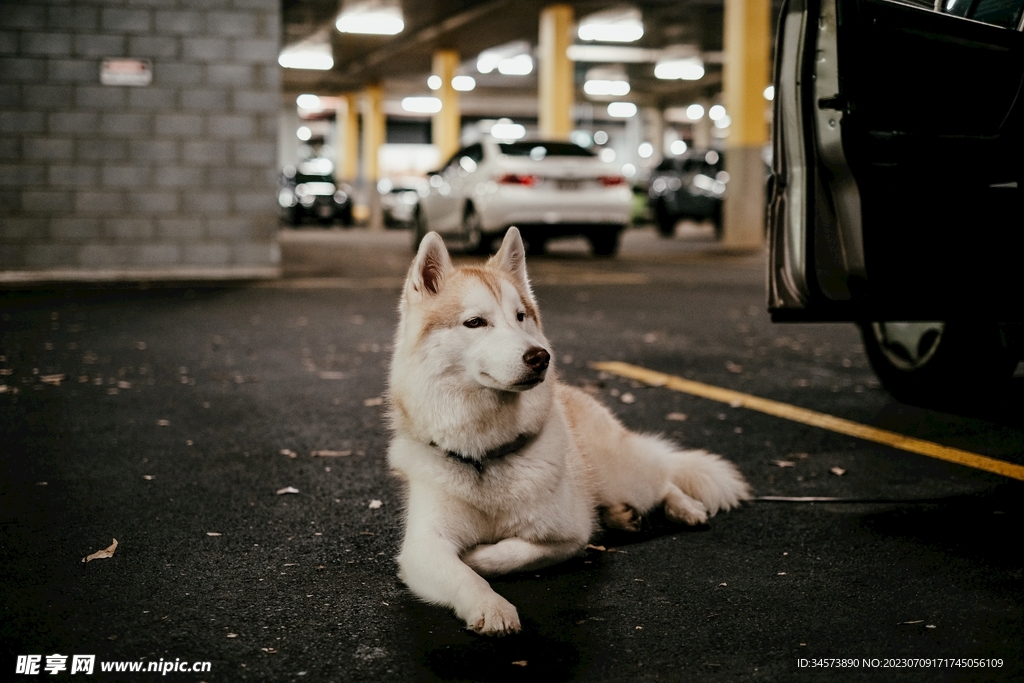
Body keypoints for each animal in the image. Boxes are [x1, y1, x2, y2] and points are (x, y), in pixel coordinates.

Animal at [387, 228, 749, 634]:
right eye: (475, 322)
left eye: (520, 317)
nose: (540, 357)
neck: (486, 455)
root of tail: (575, 391)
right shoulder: (423, 546)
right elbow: (462, 574)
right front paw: (490, 605)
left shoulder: (569, 534)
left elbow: (508, 553)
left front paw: (478, 558)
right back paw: (621, 516)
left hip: (622, 475)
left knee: (663, 476)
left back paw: (684, 507)